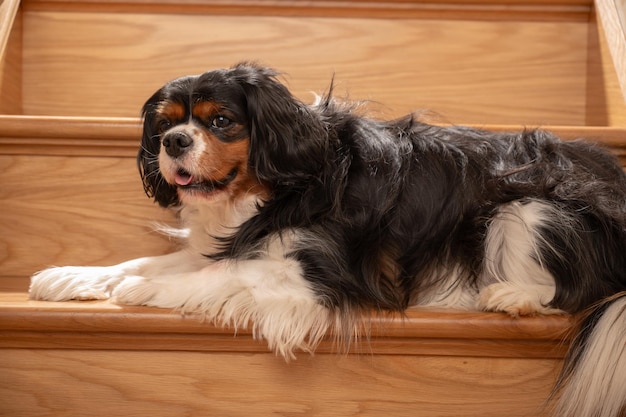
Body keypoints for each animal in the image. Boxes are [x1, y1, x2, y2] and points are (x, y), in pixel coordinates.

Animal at [30, 61, 624, 416]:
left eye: (220, 122)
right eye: (166, 123)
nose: (173, 142)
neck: (274, 190)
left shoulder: (319, 273)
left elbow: (217, 272)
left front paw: (140, 292)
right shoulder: (241, 241)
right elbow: (147, 262)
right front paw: (70, 278)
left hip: (530, 207)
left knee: (567, 287)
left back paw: (510, 297)